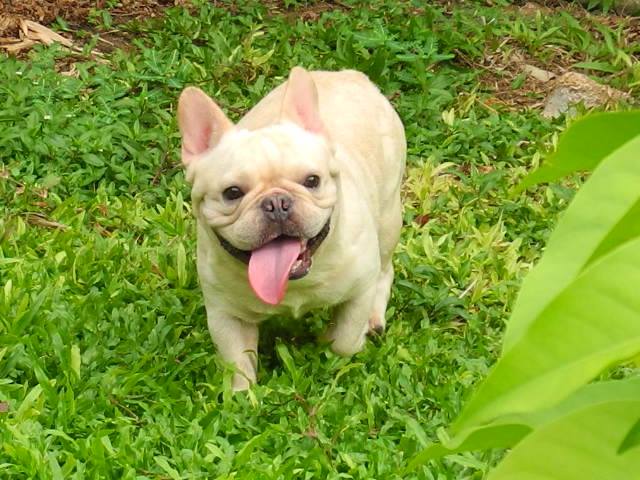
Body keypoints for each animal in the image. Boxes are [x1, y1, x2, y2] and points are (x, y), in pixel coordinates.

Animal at [177, 67, 406, 390]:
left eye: (312, 180)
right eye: (232, 193)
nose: (276, 203)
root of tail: (348, 74)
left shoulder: (359, 292)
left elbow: (344, 340)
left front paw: (330, 352)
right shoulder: (226, 317)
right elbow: (238, 363)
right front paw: (241, 396)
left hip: (387, 219)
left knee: (386, 269)